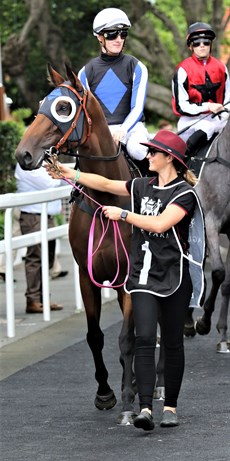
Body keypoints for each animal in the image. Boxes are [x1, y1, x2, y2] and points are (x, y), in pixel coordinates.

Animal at [15, 63, 140, 424]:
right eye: (40, 102)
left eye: (63, 107)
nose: (23, 154)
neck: (105, 197)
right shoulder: (87, 274)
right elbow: (95, 335)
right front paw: (106, 393)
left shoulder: (131, 277)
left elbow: (128, 336)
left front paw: (130, 394)